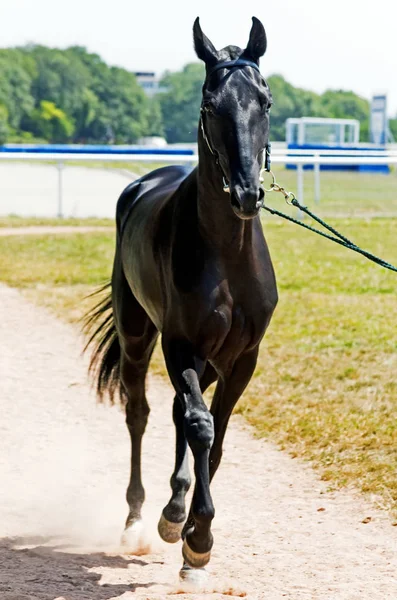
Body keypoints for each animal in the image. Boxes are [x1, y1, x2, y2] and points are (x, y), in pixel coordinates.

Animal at [85, 16, 276, 580]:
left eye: (265, 100)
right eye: (211, 105)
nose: (246, 193)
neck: (228, 257)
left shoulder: (242, 358)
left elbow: (218, 435)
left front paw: (192, 531)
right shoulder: (181, 345)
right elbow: (200, 424)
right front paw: (197, 539)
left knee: (176, 413)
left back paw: (174, 508)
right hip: (137, 336)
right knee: (142, 412)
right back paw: (141, 519)